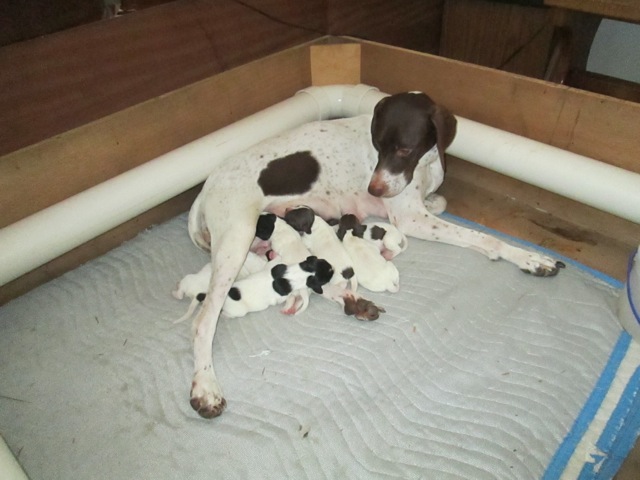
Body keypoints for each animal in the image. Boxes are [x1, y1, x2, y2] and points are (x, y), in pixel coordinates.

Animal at [184, 92, 560, 418]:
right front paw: (528, 257)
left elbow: (442, 202)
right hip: (237, 240)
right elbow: (486, 239)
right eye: (378, 145)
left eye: (404, 147)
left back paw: (355, 303)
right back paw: (206, 387)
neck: (424, 163)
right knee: (204, 322)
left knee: (323, 283)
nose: (374, 189)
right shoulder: (410, 218)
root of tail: (205, 189)